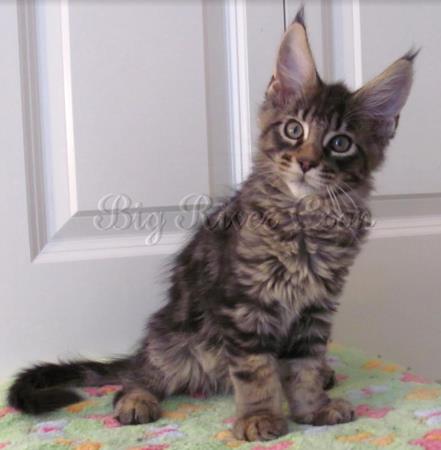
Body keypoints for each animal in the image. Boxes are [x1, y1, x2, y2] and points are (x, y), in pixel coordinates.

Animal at [6, 7, 414, 442]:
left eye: (340, 143)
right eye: (293, 129)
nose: (306, 162)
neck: (304, 220)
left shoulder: (315, 309)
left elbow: (303, 368)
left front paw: (312, 409)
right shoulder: (243, 305)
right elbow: (255, 371)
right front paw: (259, 418)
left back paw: (325, 377)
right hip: (177, 340)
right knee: (139, 376)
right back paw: (136, 400)